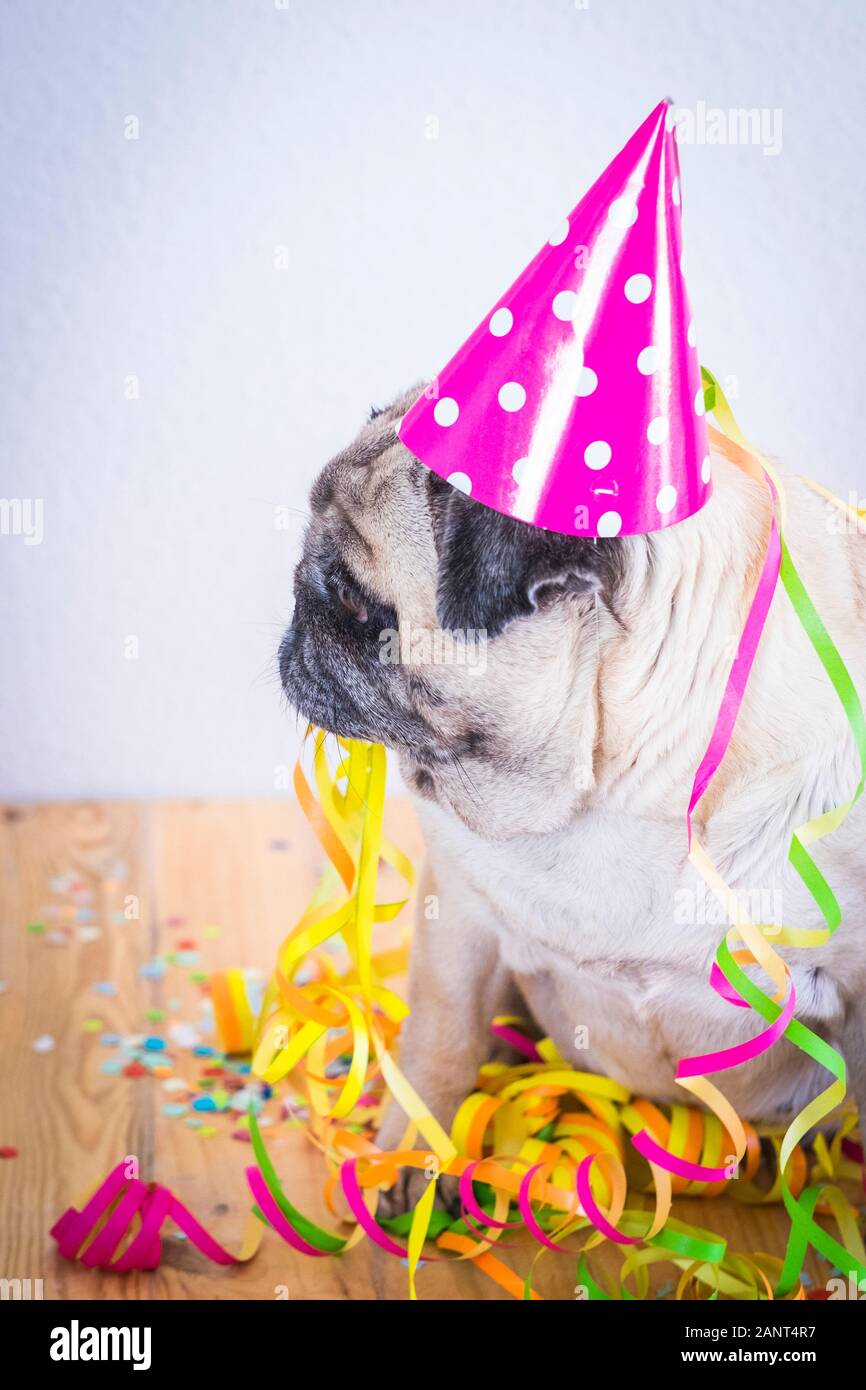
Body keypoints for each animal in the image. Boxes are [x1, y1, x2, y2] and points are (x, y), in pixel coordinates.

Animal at [279, 386, 866, 1189]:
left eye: (354, 601)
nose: (299, 597)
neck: (615, 785)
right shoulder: (458, 918)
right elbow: (439, 1041)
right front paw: (414, 1151)